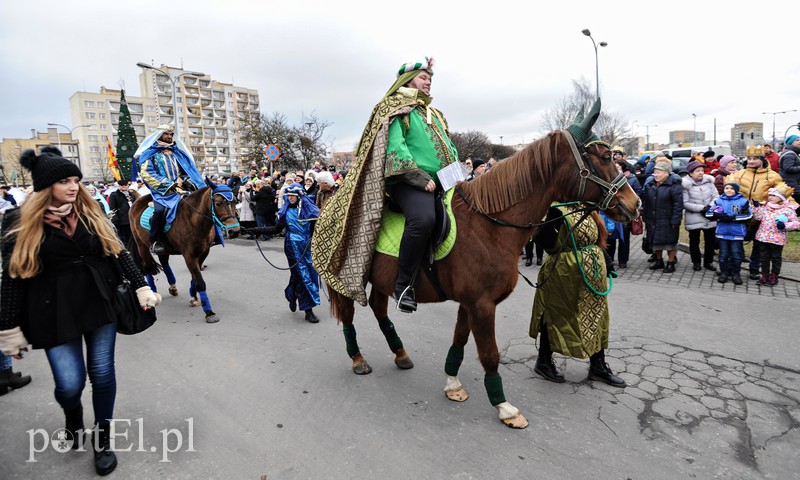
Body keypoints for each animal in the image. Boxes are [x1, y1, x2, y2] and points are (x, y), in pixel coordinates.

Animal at [322, 102, 640, 428]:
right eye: (605, 158)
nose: (635, 204)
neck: (490, 224)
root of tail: (328, 202)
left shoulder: (471, 302)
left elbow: (460, 341)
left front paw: (452, 384)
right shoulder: (482, 304)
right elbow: (490, 354)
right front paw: (504, 407)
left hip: (382, 279)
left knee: (379, 308)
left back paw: (400, 353)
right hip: (346, 277)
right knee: (348, 317)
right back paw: (358, 359)